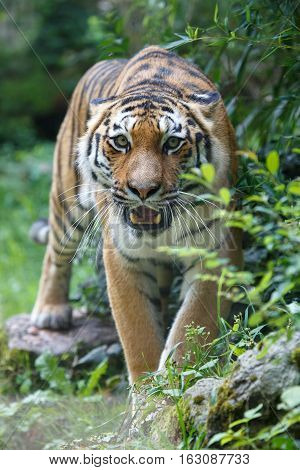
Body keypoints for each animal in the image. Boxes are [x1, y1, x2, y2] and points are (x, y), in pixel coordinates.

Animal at [31, 46, 241, 384]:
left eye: (172, 143)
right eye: (121, 142)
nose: (143, 189)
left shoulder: (216, 249)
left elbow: (193, 323)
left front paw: (175, 379)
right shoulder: (122, 255)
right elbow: (137, 332)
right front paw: (147, 390)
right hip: (67, 200)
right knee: (56, 253)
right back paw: (50, 311)